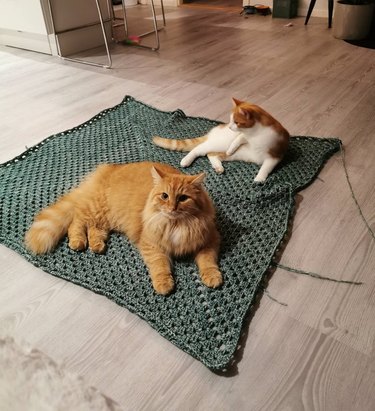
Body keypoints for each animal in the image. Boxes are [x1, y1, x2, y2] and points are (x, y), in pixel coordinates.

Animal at [24, 162, 223, 296]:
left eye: (183, 198)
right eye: (165, 196)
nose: (172, 208)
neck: (177, 224)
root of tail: (110, 168)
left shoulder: (210, 240)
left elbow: (207, 262)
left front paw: (212, 278)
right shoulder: (151, 245)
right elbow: (160, 265)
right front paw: (164, 284)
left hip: (104, 218)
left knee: (95, 229)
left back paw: (96, 246)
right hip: (95, 209)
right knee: (77, 221)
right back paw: (78, 242)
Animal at [153, 98, 290, 182]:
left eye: (236, 122)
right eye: (231, 120)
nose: (230, 127)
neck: (255, 134)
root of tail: (215, 130)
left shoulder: (275, 155)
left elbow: (265, 167)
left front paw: (259, 178)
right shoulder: (243, 135)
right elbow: (239, 138)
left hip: (238, 154)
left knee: (211, 154)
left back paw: (218, 166)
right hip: (221, 143)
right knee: (200, 149)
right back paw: (186, 160)